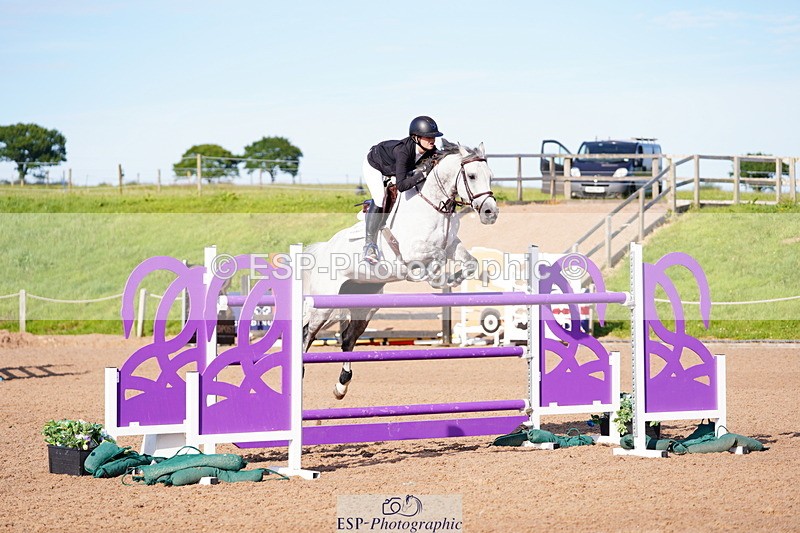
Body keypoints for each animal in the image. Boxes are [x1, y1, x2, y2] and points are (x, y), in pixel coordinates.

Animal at [301, 139, 499, 399]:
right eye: (473, 176)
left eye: (491, 176)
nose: (490, 213)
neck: (433, 206)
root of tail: (324, 248)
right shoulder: (412, 251)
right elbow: (432, 261)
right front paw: (438, 279)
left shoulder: (451, 245)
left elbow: (470, 262)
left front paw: (456, 278)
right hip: (323, 306)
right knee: (307, 332)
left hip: (364, 304)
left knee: (348, 339)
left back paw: (341, 385)